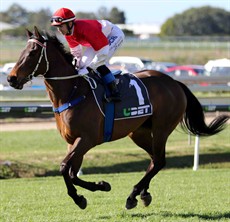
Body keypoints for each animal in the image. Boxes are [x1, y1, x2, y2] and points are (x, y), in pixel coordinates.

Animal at [7, 26, 230, 210]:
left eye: (33, 52)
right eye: (22, 51)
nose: (11, 78)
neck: (72, 91)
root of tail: (174, 82)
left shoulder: (86, 139)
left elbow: (64, 168)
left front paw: (89, 192)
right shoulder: (73, 142)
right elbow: (70, 172)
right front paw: (94, 189)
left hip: (161, 128)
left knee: (159, 160)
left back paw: (133, 195)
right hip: (138, 132)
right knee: (154, 160)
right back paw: (143, 194)